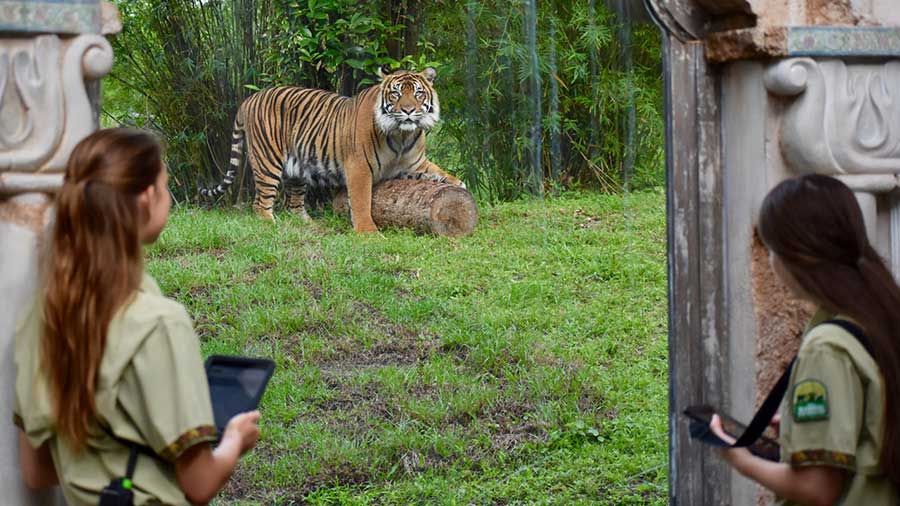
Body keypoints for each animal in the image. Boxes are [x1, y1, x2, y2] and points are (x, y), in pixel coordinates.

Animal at [198, 67, 464, 233]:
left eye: (418, 93)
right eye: (395, 93)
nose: (408, 111)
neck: (402, 134)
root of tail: (249, 99)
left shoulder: (416, 163)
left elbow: (441, 172)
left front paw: (459, 186)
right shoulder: (359, 167)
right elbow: (360, 201)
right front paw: (368, 232)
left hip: (297, 168)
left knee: (294, 205)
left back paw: (309, 225)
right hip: (267, 162)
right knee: (261, 203)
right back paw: (271, 224)